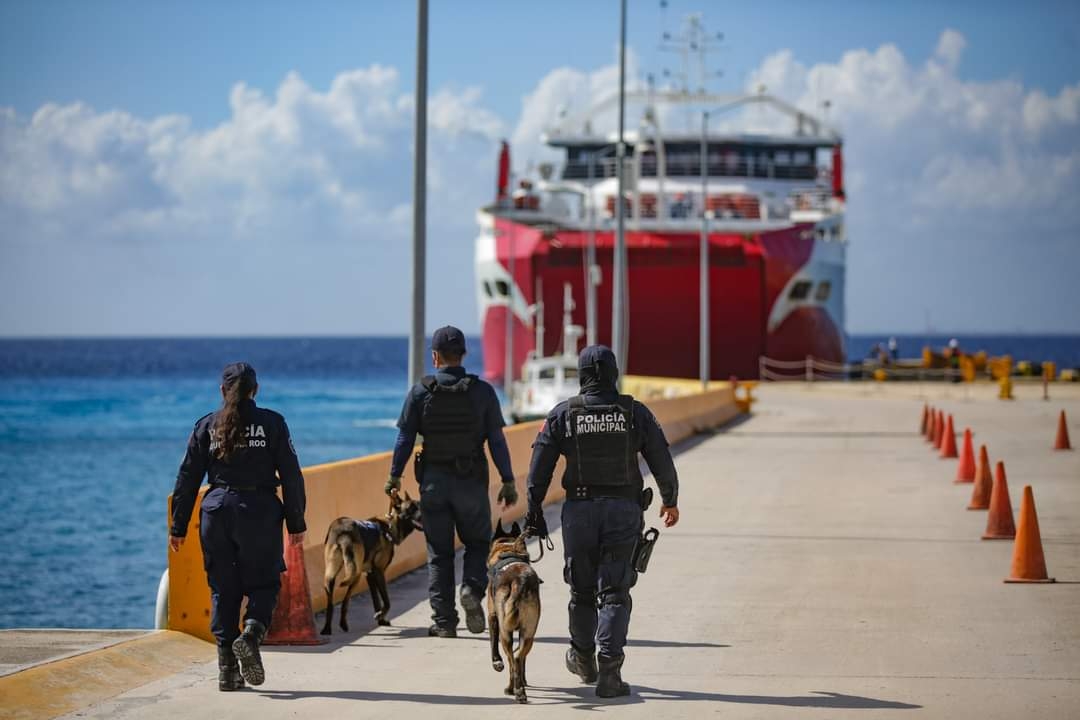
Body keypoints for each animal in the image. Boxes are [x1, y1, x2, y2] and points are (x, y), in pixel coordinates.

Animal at [315, 492, 421, 634]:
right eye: (411, 508)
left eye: (419, 505)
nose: (424, 514)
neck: (389, 527)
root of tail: (344, 531)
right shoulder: (378, 572)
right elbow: (386, 601)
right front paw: (380, 616)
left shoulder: (369, 575)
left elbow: (376, 600)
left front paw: (380, 619)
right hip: (356, 576)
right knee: (345, 601)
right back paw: (342, 624)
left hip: (332, 576)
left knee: (332, 603)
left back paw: (328, 628)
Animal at [488, 520, 540, 708]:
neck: (509, 547)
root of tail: (519, 581)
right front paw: (524, 681)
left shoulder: (492, 616)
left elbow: (493, 643)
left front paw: (496, 663)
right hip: (529, 632)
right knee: (518, 657)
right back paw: (520, 690)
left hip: (506, 633)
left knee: (511, 660)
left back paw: (513, 690)